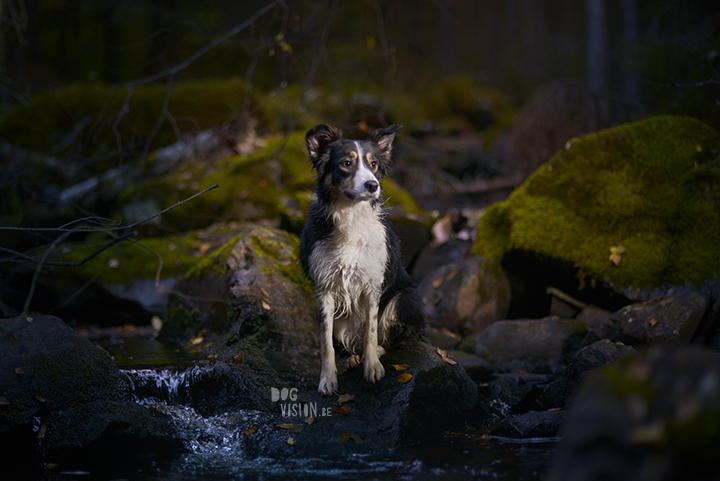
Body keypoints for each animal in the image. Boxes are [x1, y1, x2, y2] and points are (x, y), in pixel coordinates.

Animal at [300, 123, 428, 394]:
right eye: (346, 163)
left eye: (374, 164)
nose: (372, 185)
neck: (350, 215)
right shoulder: (324, 289)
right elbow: (326, 342)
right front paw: (327, 379)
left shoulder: (372, 284)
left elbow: (371, 330)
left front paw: (373, 368)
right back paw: (352, 358)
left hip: (404, 297)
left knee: (393, 339)